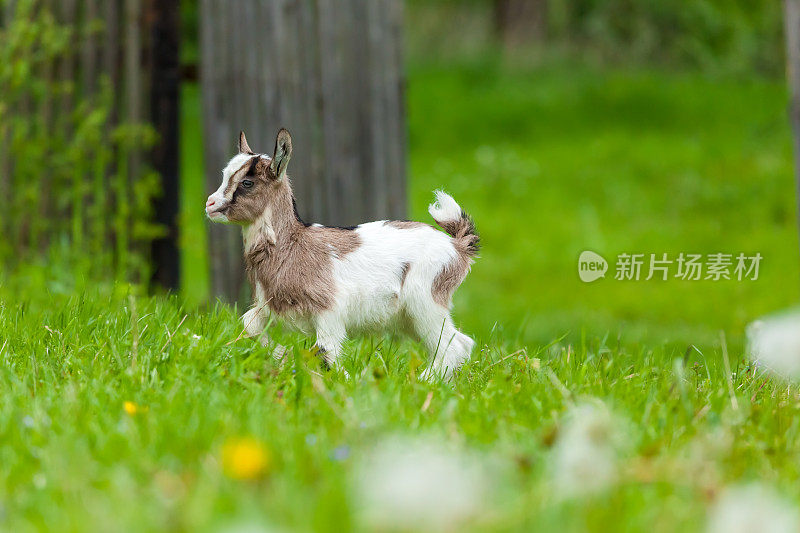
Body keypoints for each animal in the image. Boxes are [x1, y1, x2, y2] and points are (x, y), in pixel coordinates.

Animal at [206, 128, 482, 378]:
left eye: (247, 182)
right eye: (224, 175)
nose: (209, 204)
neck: (292, 245)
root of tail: (457, 246)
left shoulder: (328, 309)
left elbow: (327, 351)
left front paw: (342, 383)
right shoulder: (269, 307)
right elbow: (249, 324)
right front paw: (285, 358)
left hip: (425, 300)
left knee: (452, 347)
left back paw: (421, 383)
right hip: (411, 316)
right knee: (461, 342)